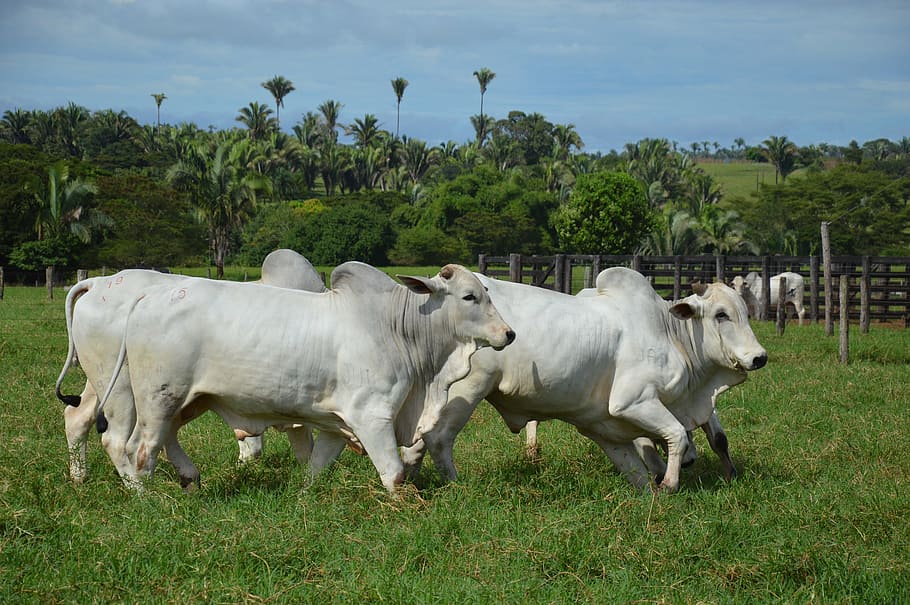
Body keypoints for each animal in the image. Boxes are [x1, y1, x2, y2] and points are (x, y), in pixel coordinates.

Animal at [55, 249, 326, 484]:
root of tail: (98, 283)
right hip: (124, 389)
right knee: (116, 440)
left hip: (102, 378)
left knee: (77, 417)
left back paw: (79, 477)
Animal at [95, 262, 515, 494]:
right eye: (469, 297)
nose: (509, 334)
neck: (396, 328)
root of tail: (152, 295)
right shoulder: (372, 415)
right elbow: (394, 475)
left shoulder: (336, 424)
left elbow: (316, 467)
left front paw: (304, 495)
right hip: (157, 397)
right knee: (137, 448)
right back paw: (145, 498)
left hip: (189, 399)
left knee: (164, 439)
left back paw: (188, 478)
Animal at [400, 267, 766, 492]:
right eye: (721, 314)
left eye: (745, 311)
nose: (759, 357)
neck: (670, 333)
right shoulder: (633, 401)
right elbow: (677, 434)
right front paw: (670, 484)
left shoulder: (603, 426)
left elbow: (641, 466)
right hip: (468, 389)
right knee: (438, 438)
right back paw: (453, 484)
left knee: (417, 442)